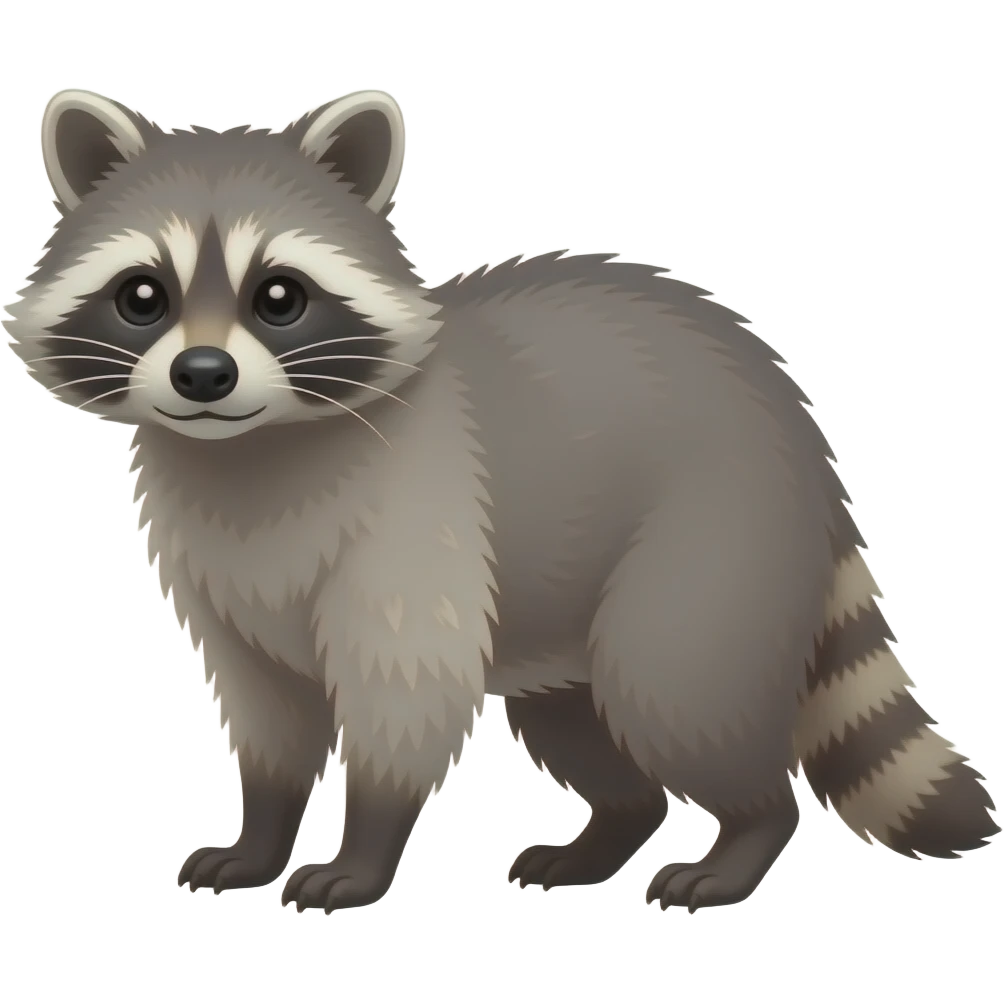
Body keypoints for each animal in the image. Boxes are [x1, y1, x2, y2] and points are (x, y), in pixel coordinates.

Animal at [5, 87, 999, 916]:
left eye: (278, 297)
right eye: (143, 295)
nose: (203, 375)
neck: (249, 448)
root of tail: (801, 433)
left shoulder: (418, 512)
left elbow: (405, 695)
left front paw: (363, 850)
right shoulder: (219, 570)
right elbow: (266, 707)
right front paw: (261, 830)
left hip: (710, 543)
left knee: (673, 689)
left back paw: (746, 835)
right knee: (580, 721)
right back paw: (610, 833)